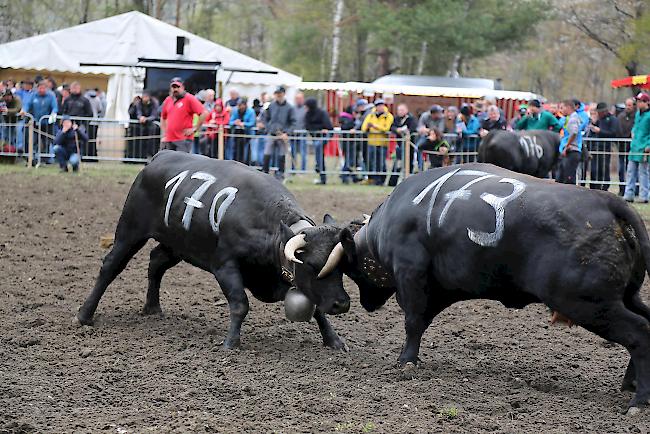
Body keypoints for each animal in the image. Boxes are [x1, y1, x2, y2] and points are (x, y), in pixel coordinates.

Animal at [76, 151, 352, 350]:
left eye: (341, 267)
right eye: (313, 265)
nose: (342, 304)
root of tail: (158, 157)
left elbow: (318, 309)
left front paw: (334, 341)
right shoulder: (224, 265)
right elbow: (240, 304)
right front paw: (231, 343)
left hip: (177, 245)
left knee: (155, 263)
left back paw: (153, 308)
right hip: (130, 231)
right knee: (111, 266)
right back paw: (84, 315)